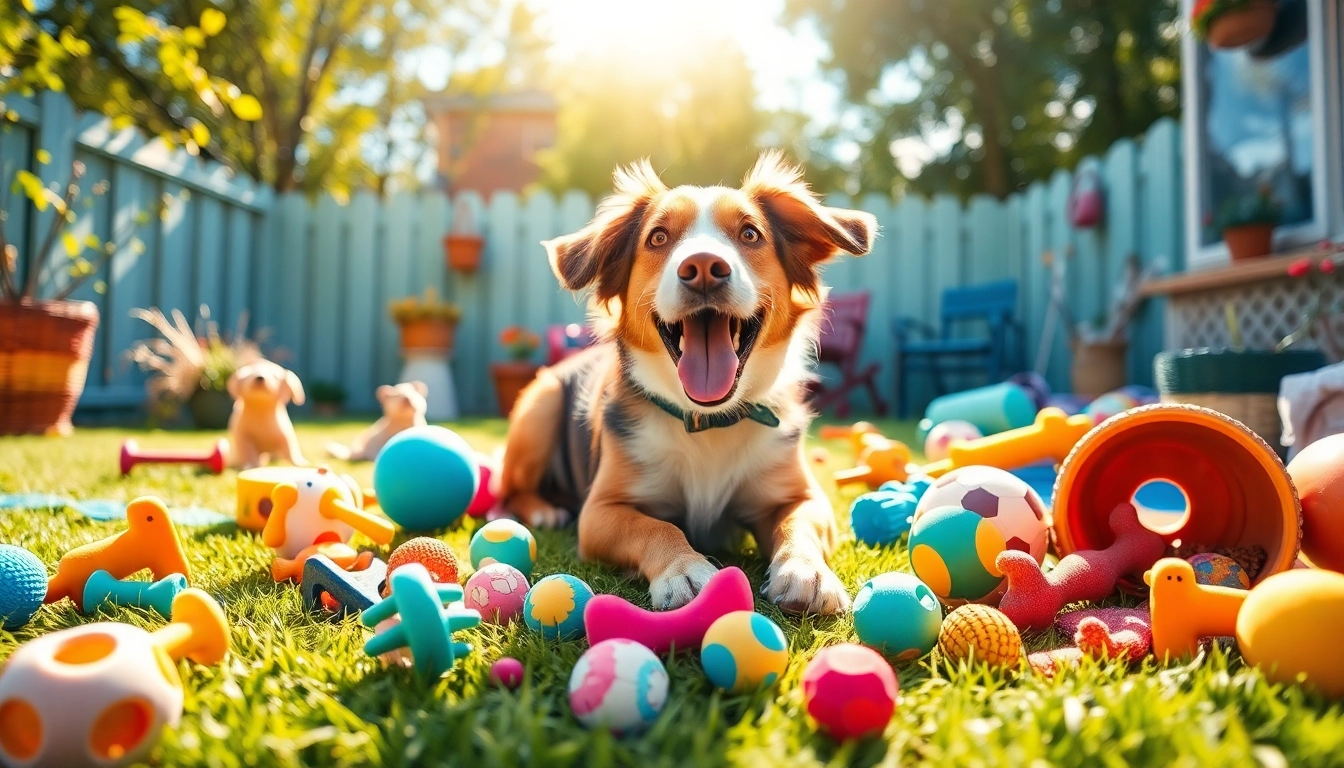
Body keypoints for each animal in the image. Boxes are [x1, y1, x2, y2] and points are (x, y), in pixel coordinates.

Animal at [499, 153, 876, 616]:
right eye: (658, 237)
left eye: (750, 233)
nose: (703, 268)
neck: (708, 421)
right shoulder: (601, 512)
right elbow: (656, 527)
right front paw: (683, 569)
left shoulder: (800, 496)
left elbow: (797, 525)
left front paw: (806, 571)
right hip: (542, 404)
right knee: (509, 489)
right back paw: (542, 510)